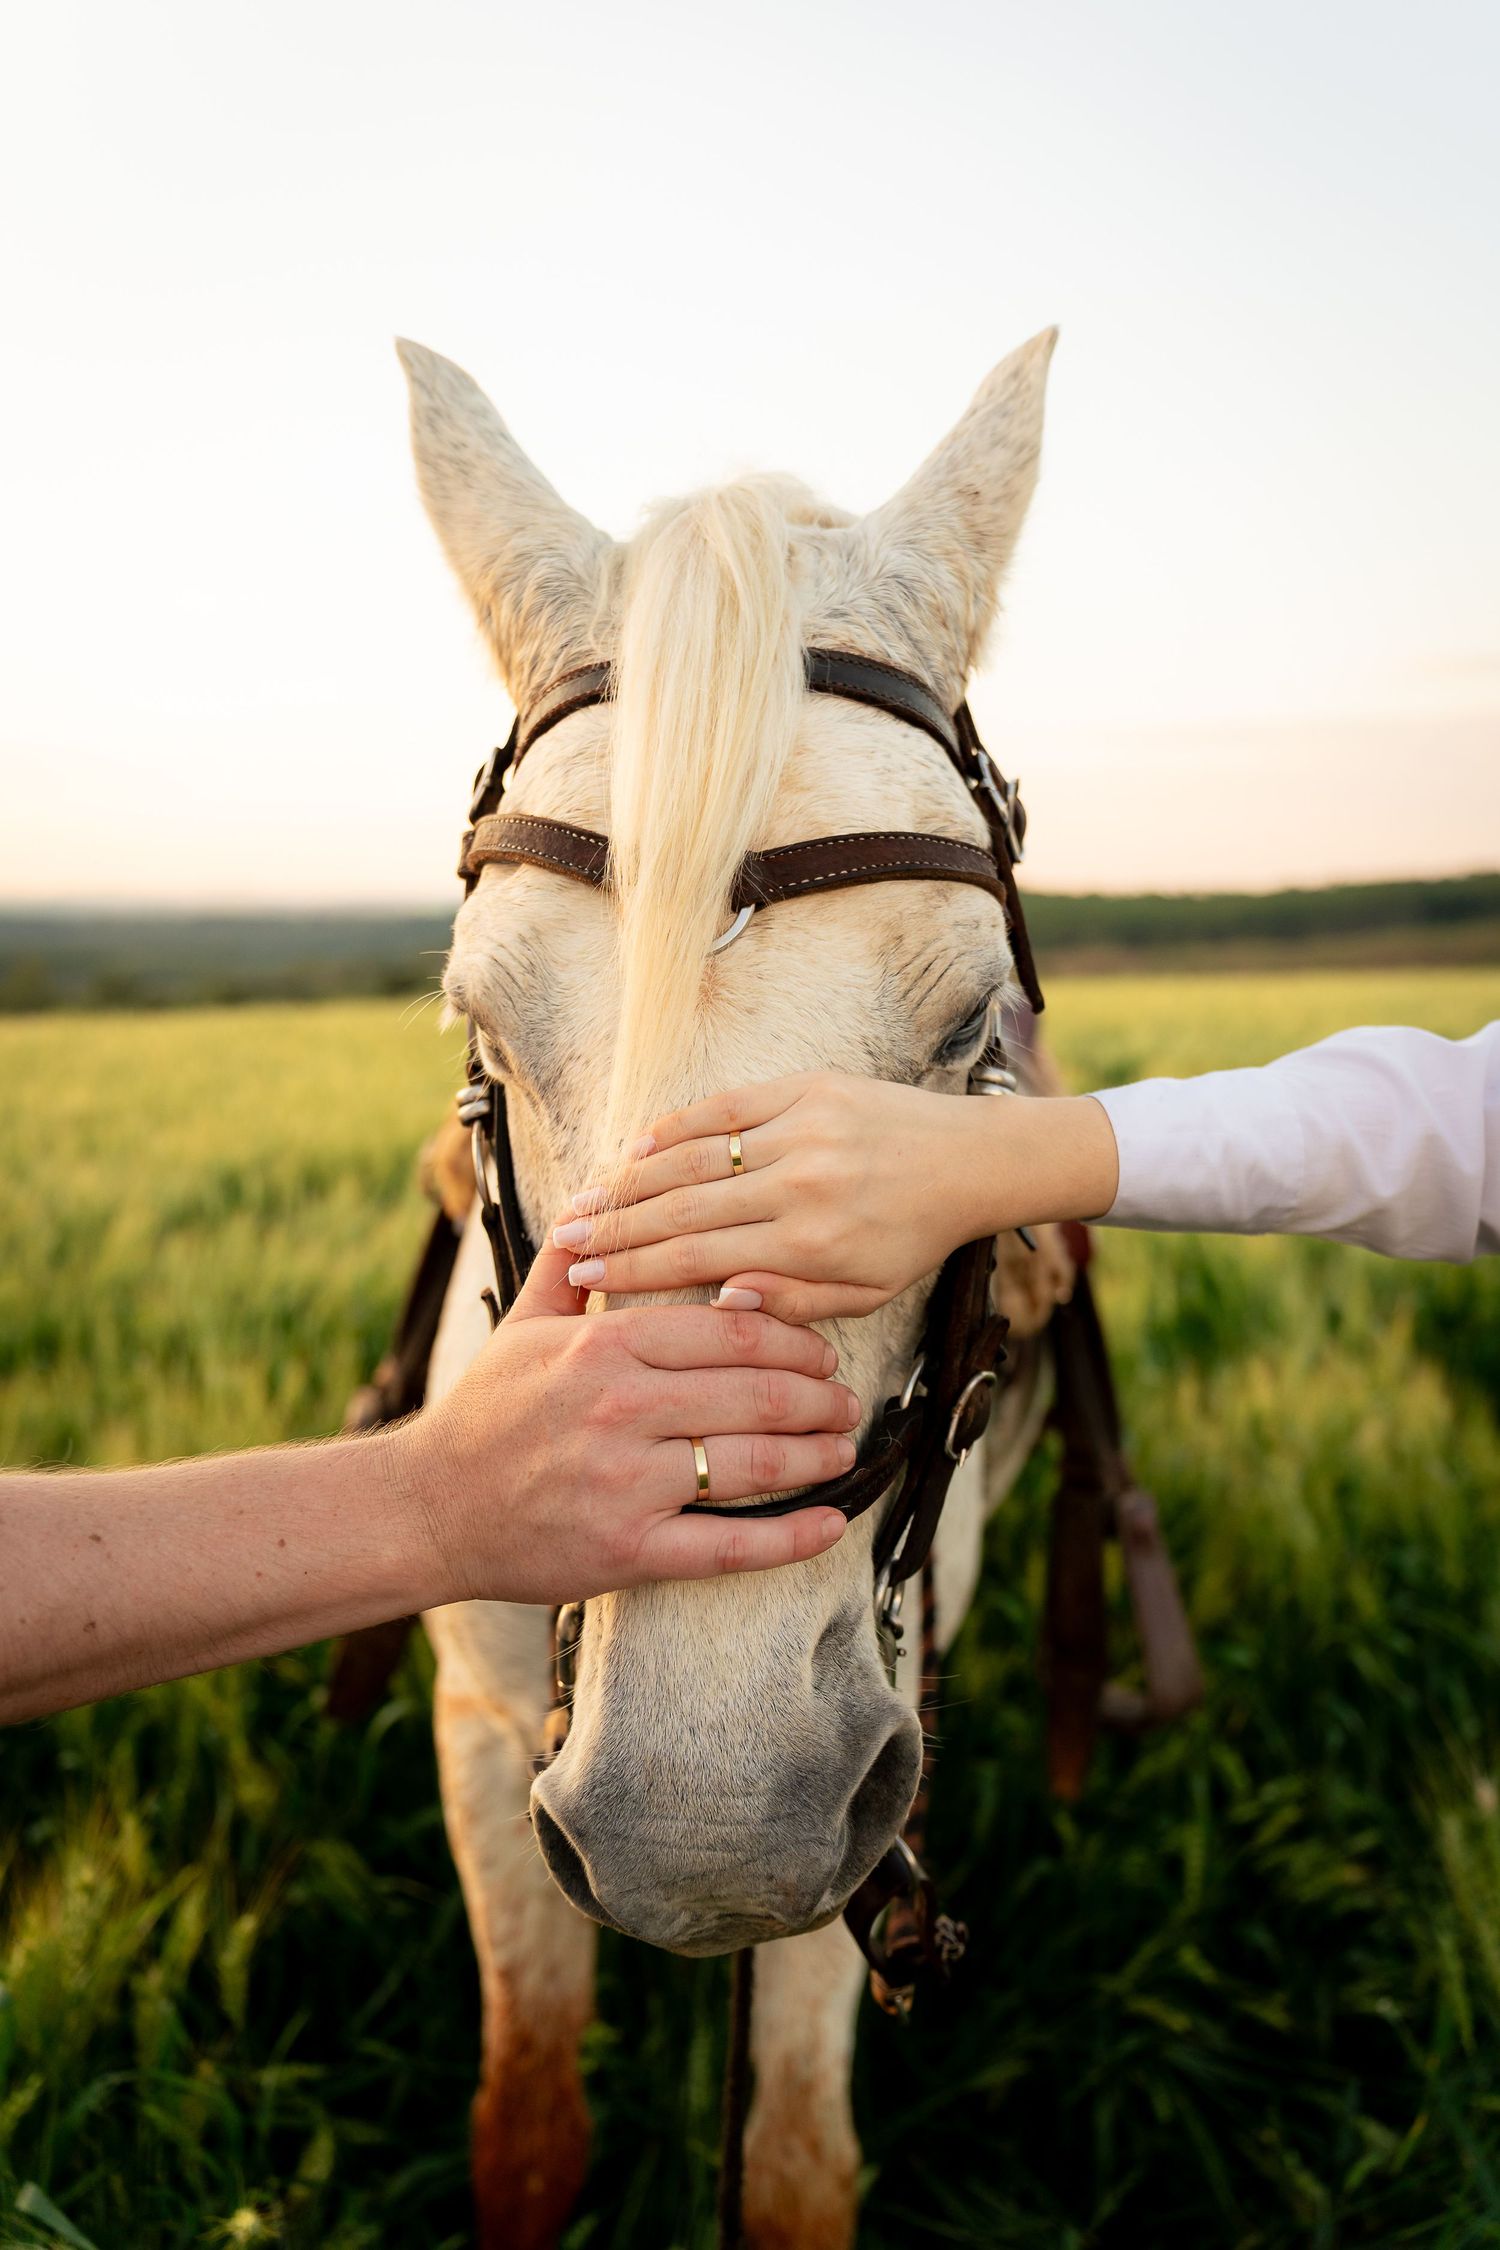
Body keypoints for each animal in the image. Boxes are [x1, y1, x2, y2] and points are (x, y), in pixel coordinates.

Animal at [401, 327, 1074, 2249]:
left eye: (972, 1027)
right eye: (481, 1022)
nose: (707, 1826)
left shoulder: (869, 1795)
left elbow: (787, 2166)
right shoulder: (482, 1726)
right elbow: (528, 2122)